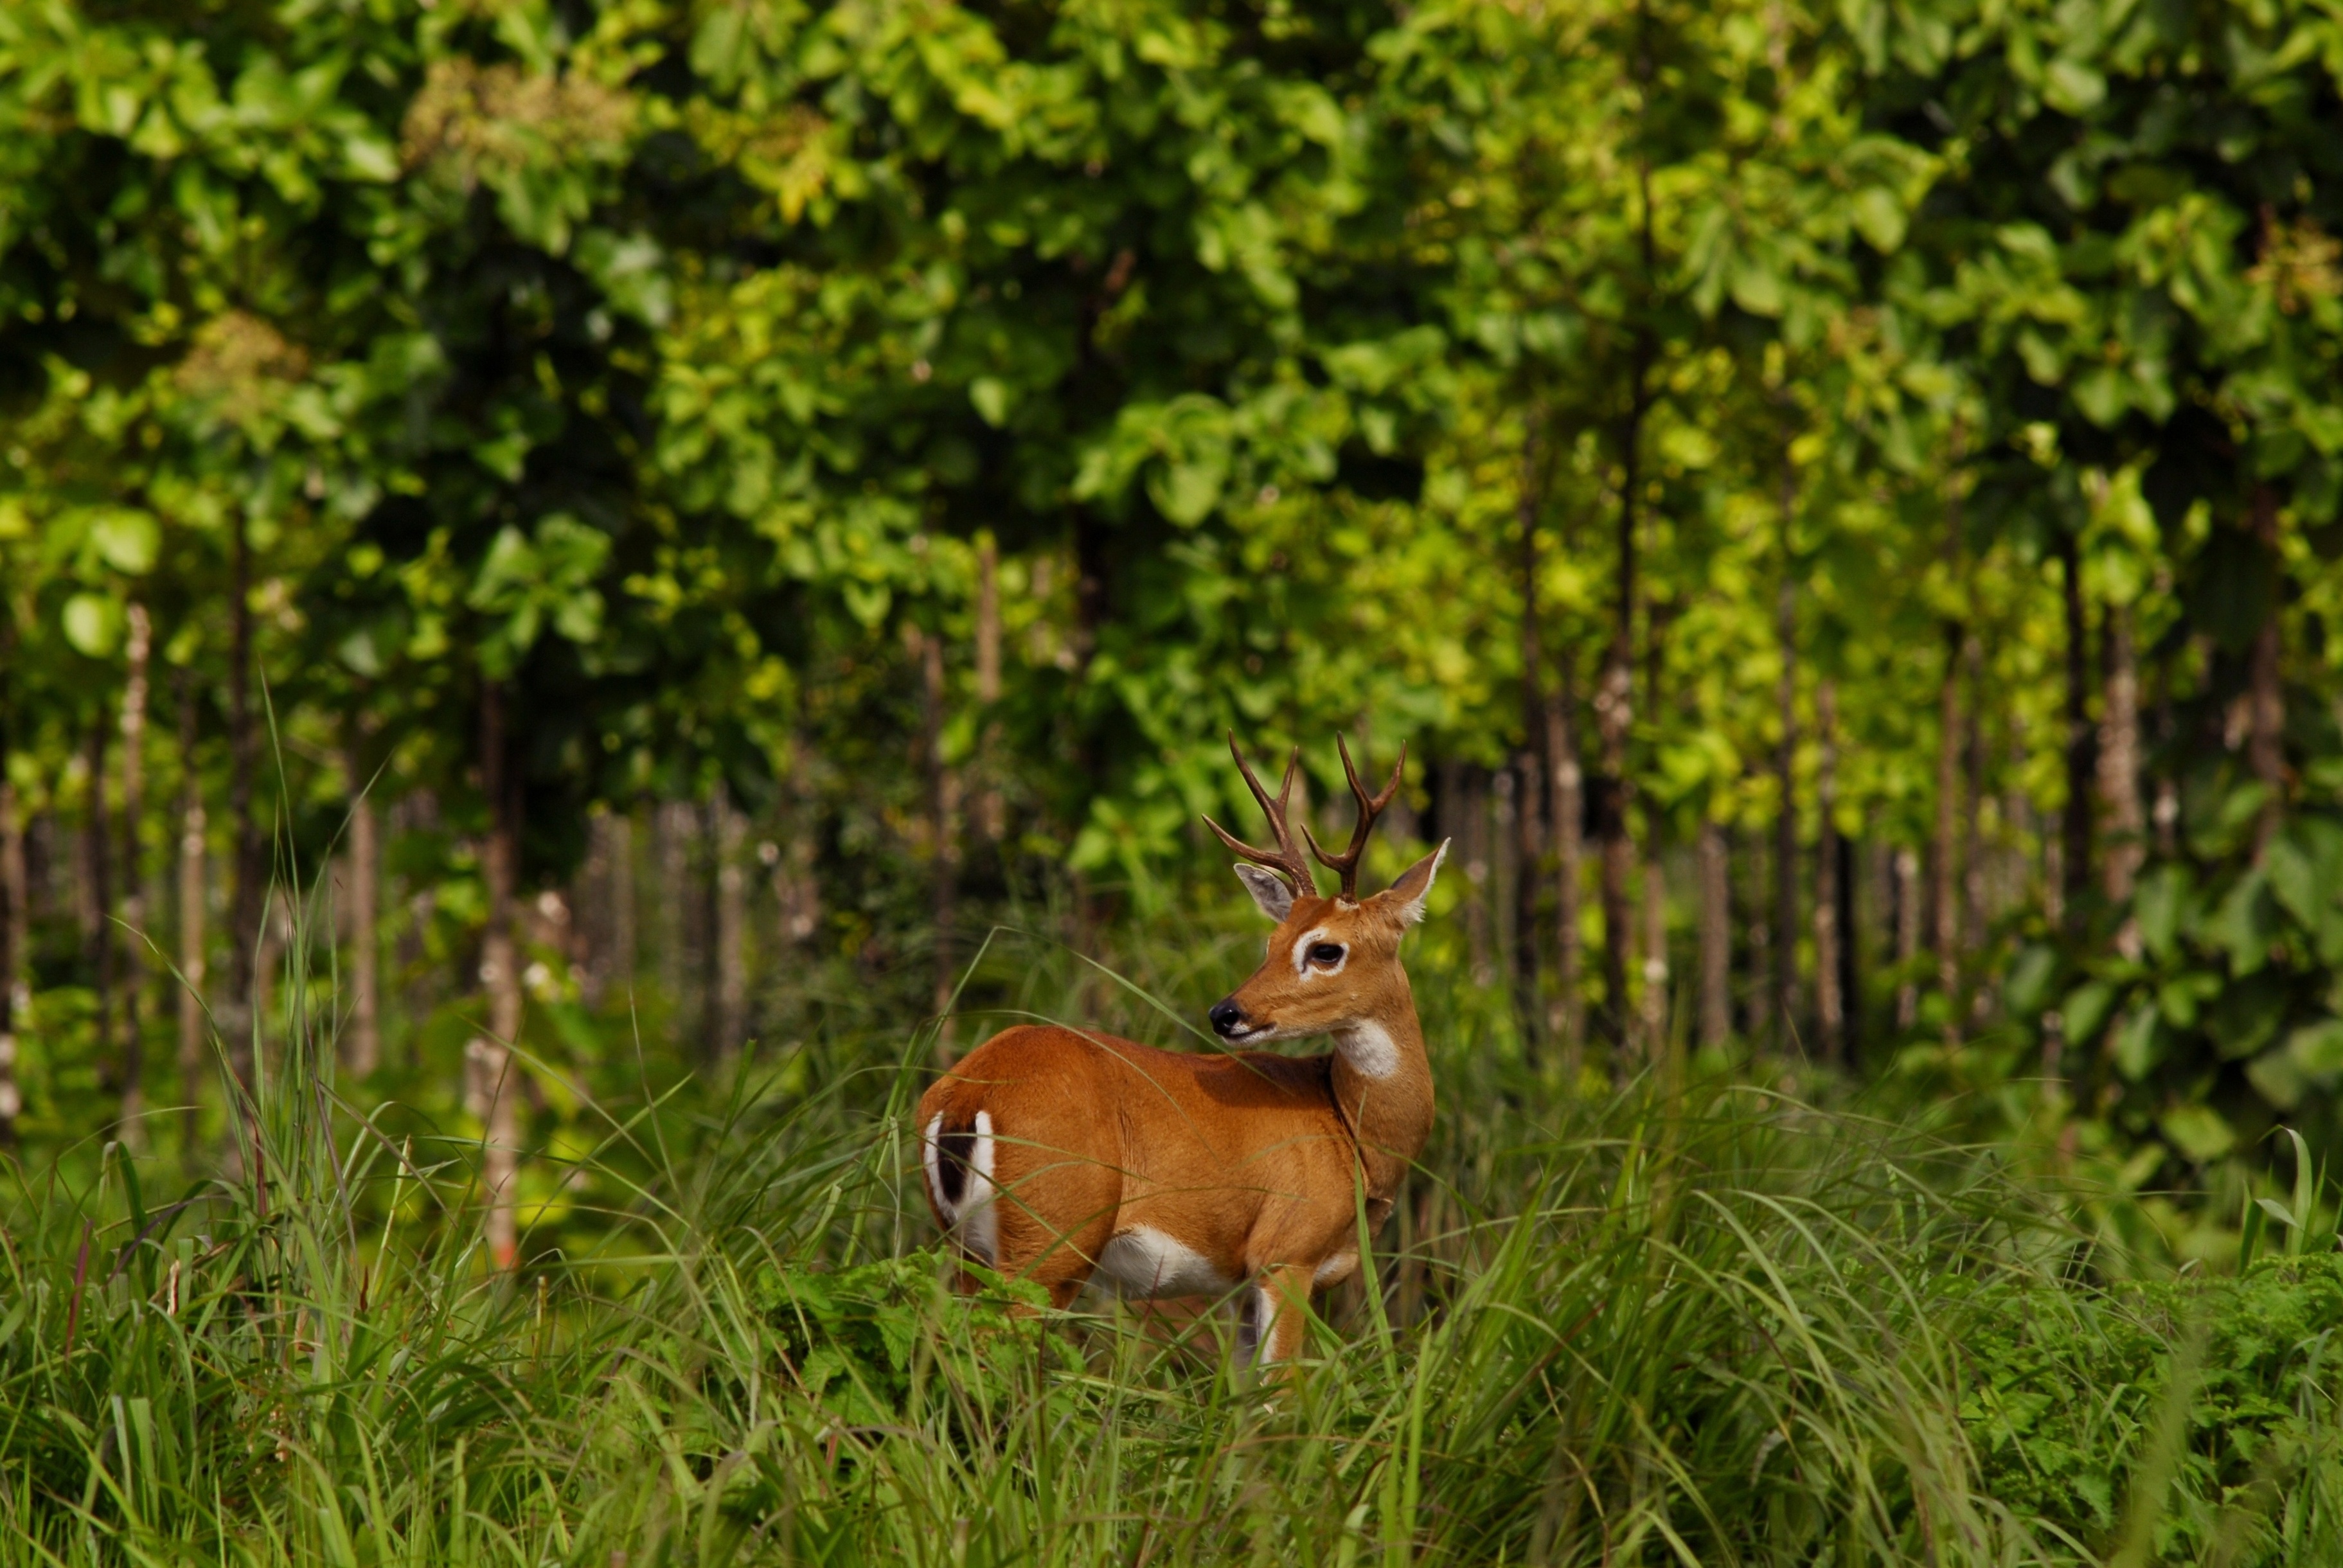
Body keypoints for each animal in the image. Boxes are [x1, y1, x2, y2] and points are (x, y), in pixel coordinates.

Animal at [916, 733, 1447, 1365]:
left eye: (1324, 949)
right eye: (1273, 942)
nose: (1226, 1013)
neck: (1351, 1130)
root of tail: (963, 1097)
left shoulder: (1241, 1283)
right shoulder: (1286, 1251)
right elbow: (1282, 1388)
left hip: (964, 1246)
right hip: (1051, 1237)